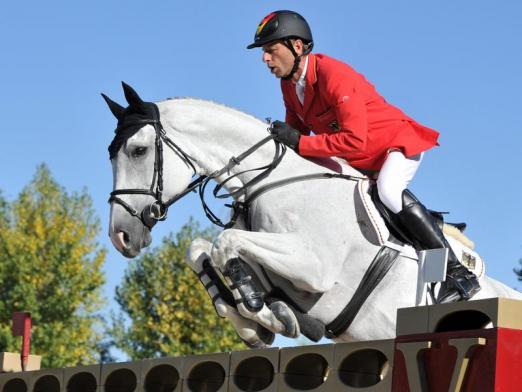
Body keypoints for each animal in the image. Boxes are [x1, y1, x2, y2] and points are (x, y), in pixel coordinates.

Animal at [104, 84, 516, 348]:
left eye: (138, 150)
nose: (121, 236)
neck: (270, 180)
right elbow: (201, 250)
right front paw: (257, 322)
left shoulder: (314, 266)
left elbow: (225, 242)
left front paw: (264, 313)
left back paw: (458, 283)